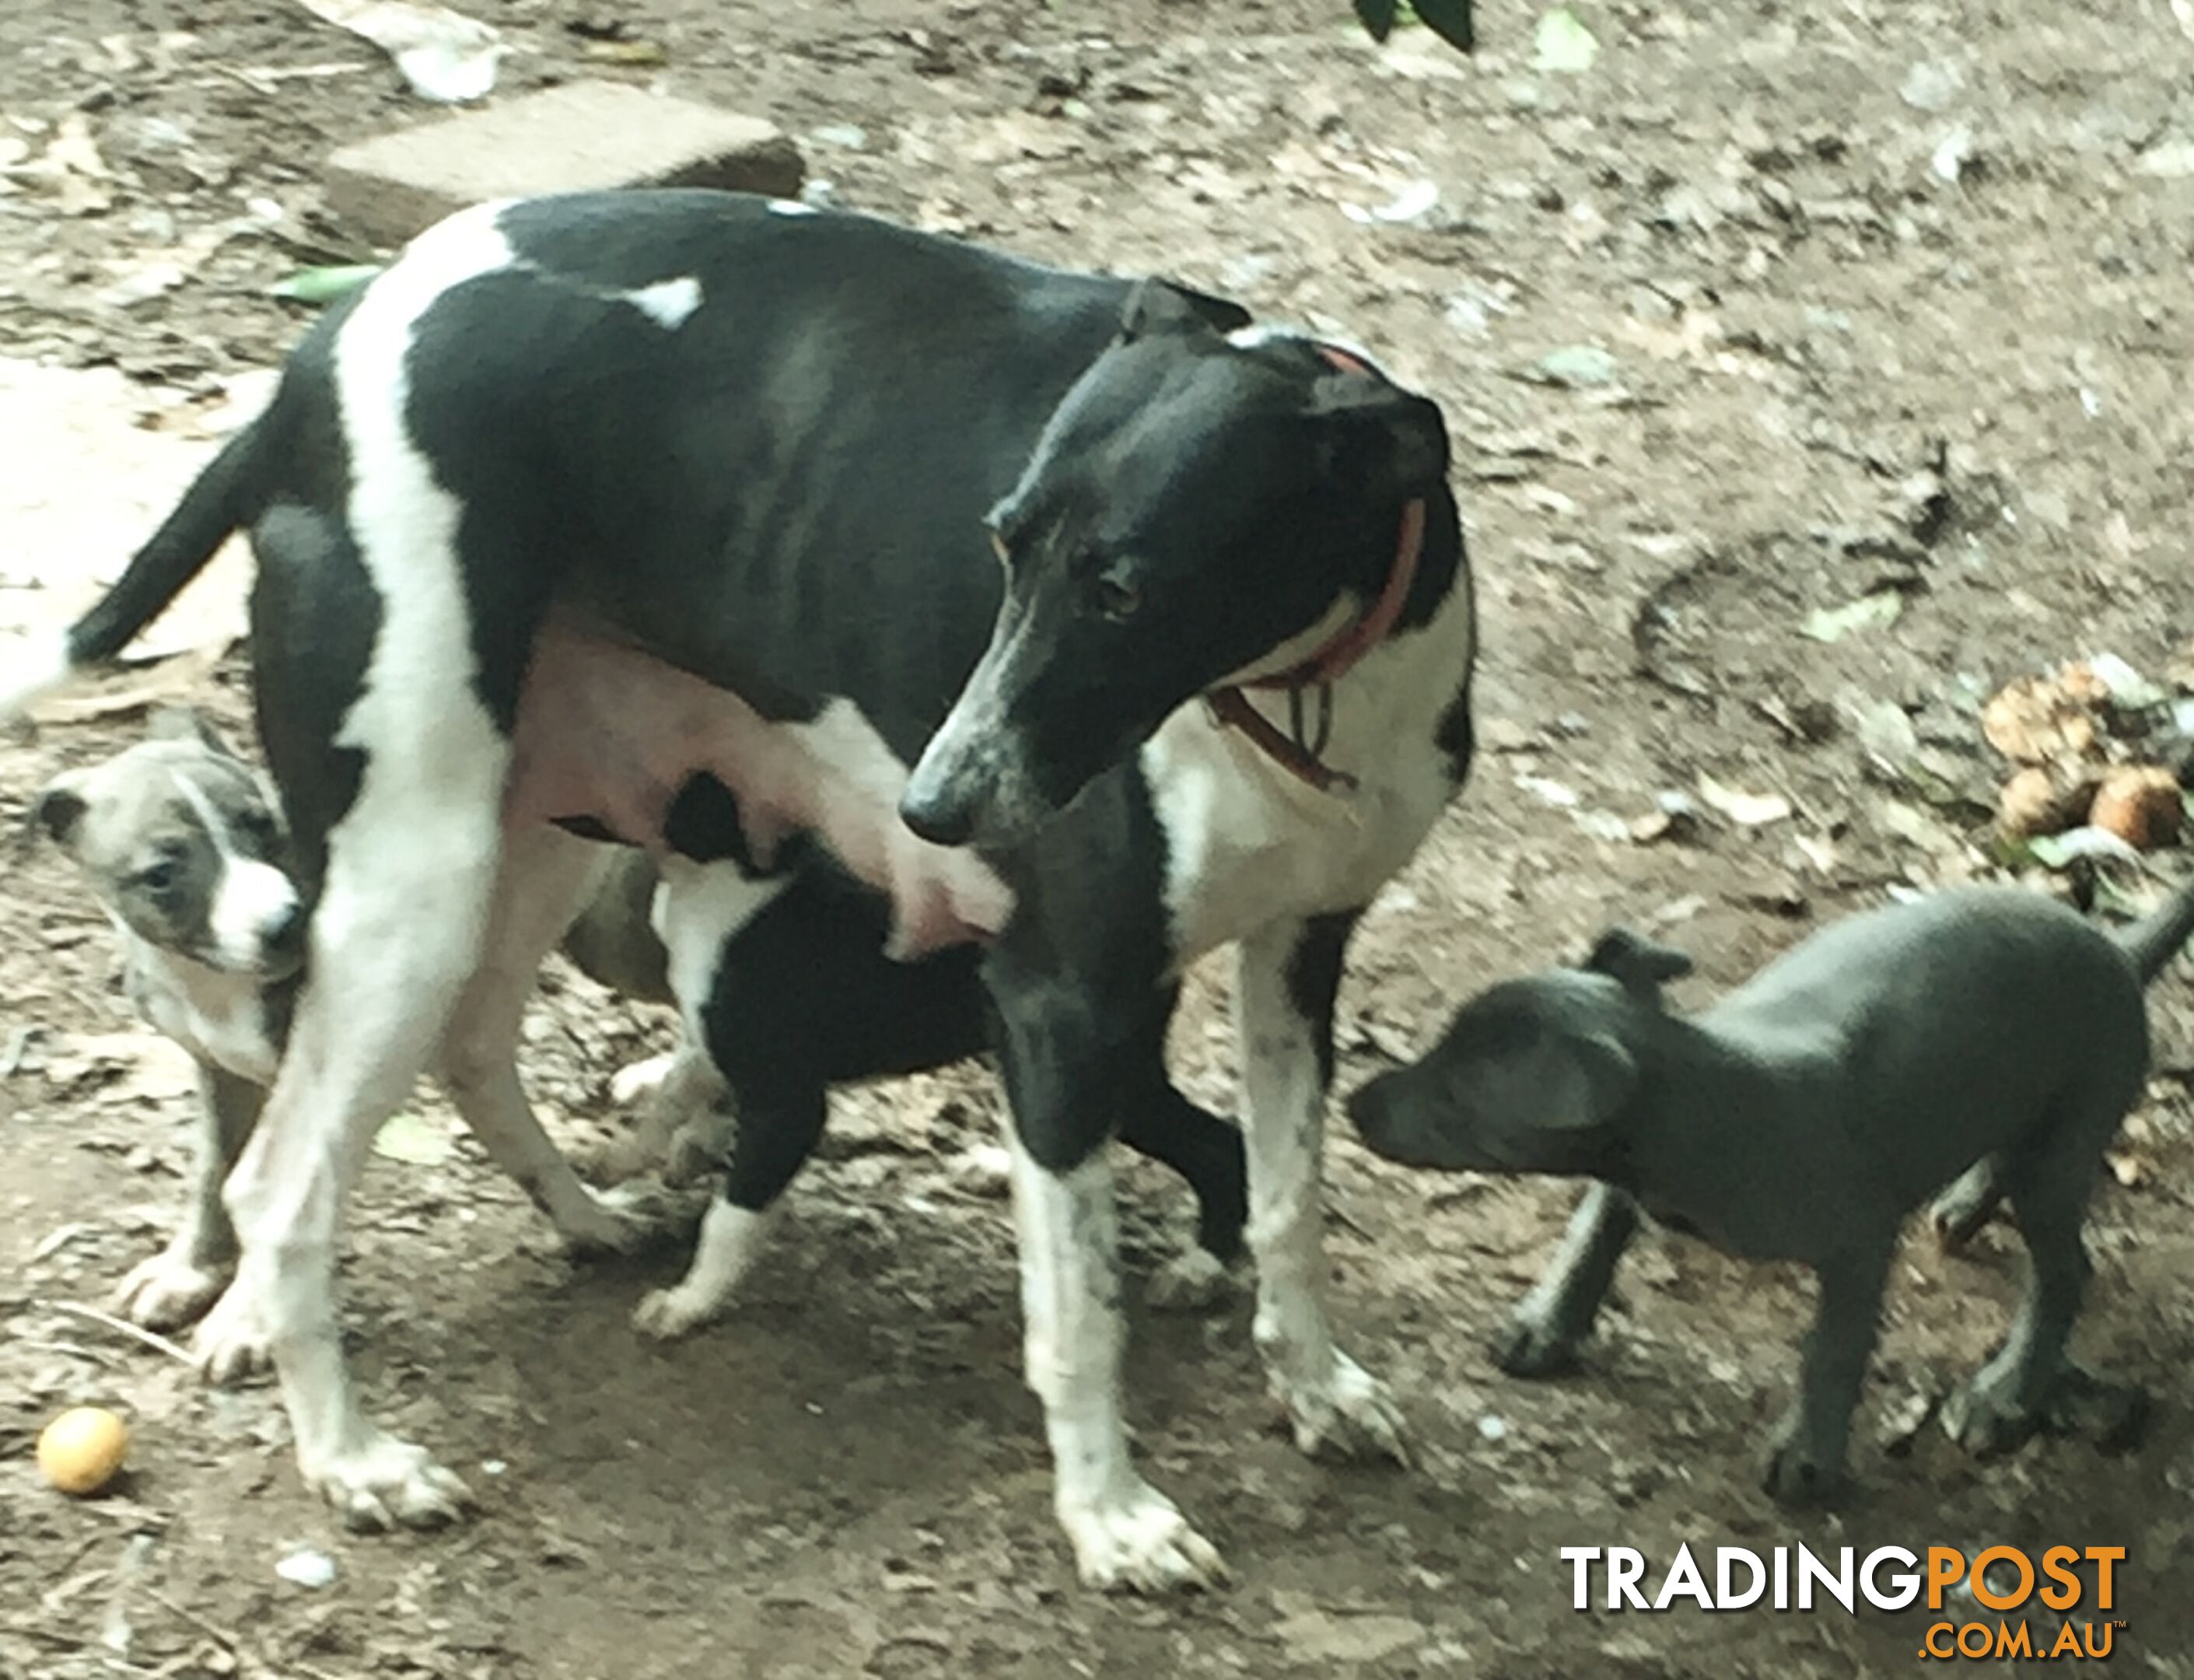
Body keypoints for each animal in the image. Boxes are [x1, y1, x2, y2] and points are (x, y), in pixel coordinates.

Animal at [9, 191, 1474, 1596]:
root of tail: (318, 362)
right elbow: (1078, 1315)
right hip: (408, 876)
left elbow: (1289, 1201)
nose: (935, 810)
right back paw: (352, 1460)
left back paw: (576, 1226)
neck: (1300, 690)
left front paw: (1316, 1389)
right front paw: (1111, 1518)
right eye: (1003, 548)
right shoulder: (1058, 1004)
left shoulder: (1300, 954)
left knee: (467, 1045)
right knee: (284, 1181)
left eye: (1122, 590)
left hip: (523, 832)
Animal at [1342, 881, 2185, 1509]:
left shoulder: (1858, 1241)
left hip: (2065, 1144)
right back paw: (1968, 1201)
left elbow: (1833, 1350)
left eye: (1457, 1096)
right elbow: (1591, 1236)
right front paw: (1546, 1326)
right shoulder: (1625, 1182)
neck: (1701, 1087)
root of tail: (2116, 950)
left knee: (2065, 1270)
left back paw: (2001, 1393)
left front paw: (1807, 1455)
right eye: (1438, 1042)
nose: (1352, 1104)